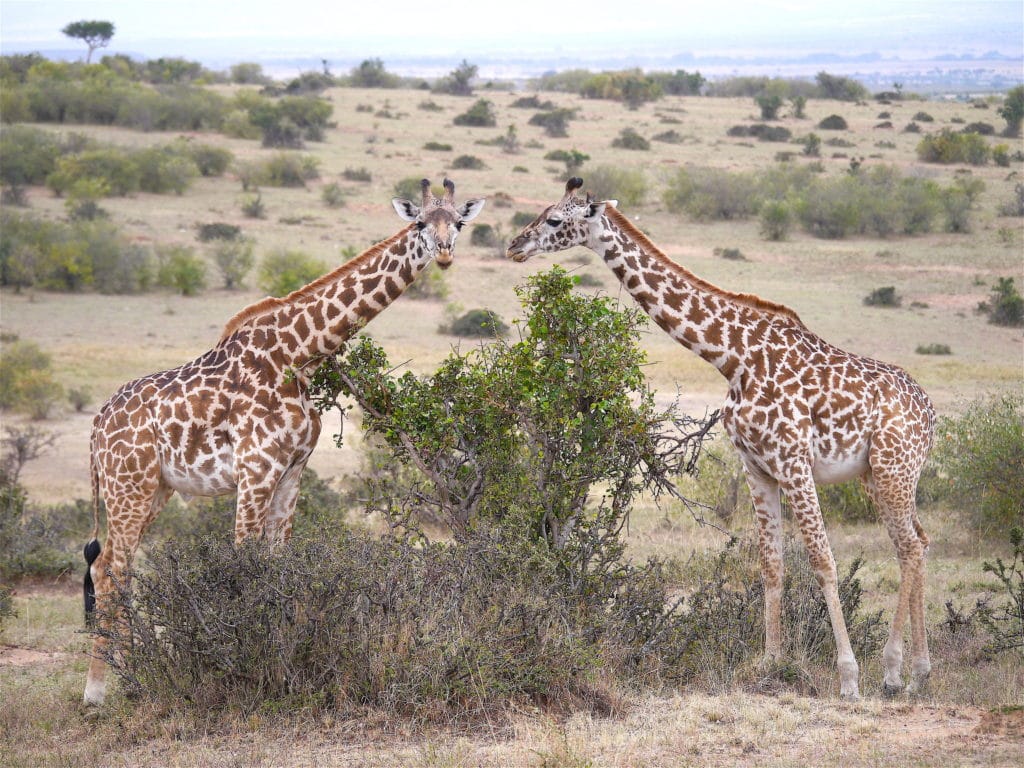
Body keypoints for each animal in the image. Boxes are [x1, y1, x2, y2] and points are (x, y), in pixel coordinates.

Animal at [79, 180, 483, 708]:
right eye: (419, 222)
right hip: (129, 485)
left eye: (458, 222)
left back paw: (129, 680)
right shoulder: (256, 468)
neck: (301, 355)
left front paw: (283, 667)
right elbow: (242, 564)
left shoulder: (292, 470)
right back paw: (98, 692)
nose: (445, 252)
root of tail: (96, 426)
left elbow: (277, 566)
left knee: (111, 567)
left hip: (155, 490)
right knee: (112, 570)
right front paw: (243, 665)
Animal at [503, 177, 937, 700]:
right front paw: (769, 664)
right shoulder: (756, 467)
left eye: (552, 219)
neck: (732, 357)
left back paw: (893, 671)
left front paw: (848, 678)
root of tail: (931, 412)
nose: (514, 245)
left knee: (909, 547)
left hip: (894, 468)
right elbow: (771, 563)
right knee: (917, 542)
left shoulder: (793, 460)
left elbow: (823, 561)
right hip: (878, 475)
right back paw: (918, 671)